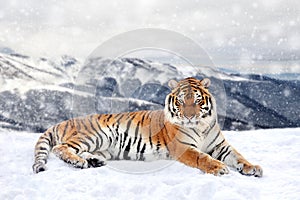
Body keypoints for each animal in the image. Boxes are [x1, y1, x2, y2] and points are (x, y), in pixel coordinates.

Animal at [32, 76, 262, 177]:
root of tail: (64, 121)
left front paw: (253, 168)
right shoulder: (183, 147)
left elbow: (238, 156)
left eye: (196, 101)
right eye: (181, 101)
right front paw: (219, 168)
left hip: (102, 146)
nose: (189, 116)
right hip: (96, 134)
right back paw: (78, 162)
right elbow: (202, 158)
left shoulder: (220, 146)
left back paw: (94, 161)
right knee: (60, 148)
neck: (202, 126)